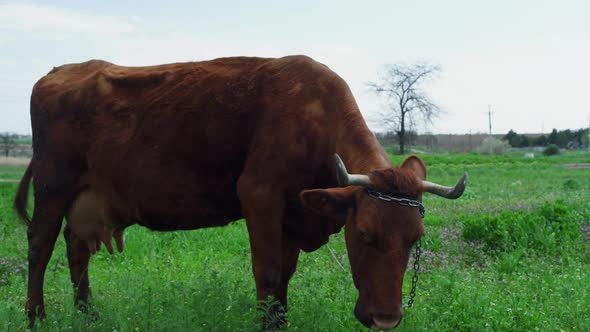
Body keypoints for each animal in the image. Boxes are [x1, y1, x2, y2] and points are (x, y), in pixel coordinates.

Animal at [11, 55, 470, 330]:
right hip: (53, 185)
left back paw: (88, 314)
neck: (314, 119)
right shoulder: (259, 193)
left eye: (416, 240)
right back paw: (36, 317)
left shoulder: (293, 211)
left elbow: (285, 275)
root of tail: (60, 71)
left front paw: (281, 322)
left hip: (87, 198)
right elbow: (267, 272)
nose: (386, 320)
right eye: (363, 234)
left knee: (76, 248)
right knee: (40, 246)